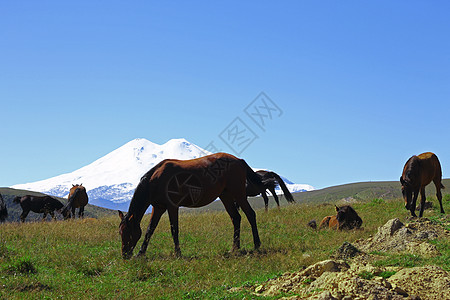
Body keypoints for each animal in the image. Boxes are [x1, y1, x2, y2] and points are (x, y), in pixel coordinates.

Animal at [118, 154, 266, 258]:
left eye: (128, 232)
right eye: (120, 232)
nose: (125, 255)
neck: (155, 179)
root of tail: (239, 160)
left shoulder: (172, 206)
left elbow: (174, 230)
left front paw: (178, 253)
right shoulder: (158, 208)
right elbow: (150, 230)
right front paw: (141, 253)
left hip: (238, 194)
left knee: (250, 214)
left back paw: (257, 245)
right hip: (226, 196)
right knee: (236, 218)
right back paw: (235, 248)